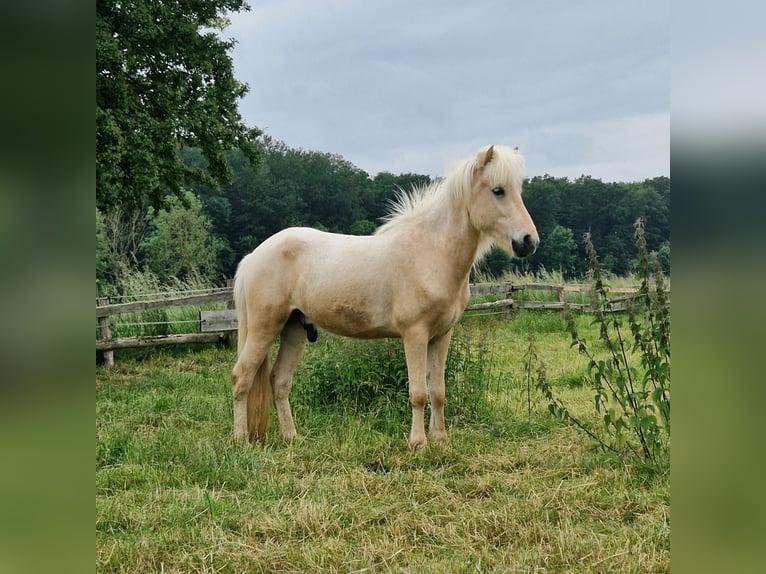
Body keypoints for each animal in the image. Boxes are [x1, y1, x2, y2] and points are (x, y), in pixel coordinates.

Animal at [231, 145, 536, 450]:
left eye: (518, 190)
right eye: (498, 190)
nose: (528, 241)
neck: (431, 252)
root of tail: (253, 256)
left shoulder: (441, 336)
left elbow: (438, 392)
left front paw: (439, 439)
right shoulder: (415, 335)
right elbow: (418, 393)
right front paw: (418, 443)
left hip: (294, 329)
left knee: (279, 381)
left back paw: (291, 436)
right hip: (263, 328)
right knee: (241, 377)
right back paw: (240, 439)